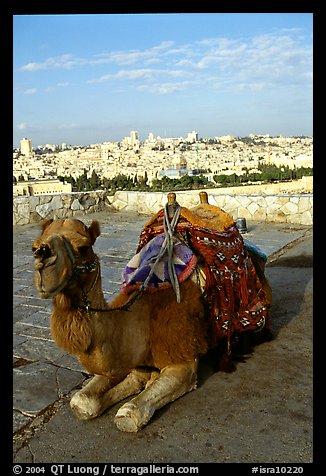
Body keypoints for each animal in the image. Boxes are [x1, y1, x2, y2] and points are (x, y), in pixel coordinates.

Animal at [31, 191, 272, 432]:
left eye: (83, 247)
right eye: (34, 247)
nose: (42, 255)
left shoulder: (182, 357)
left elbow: (130, 414)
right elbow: (81, 401)